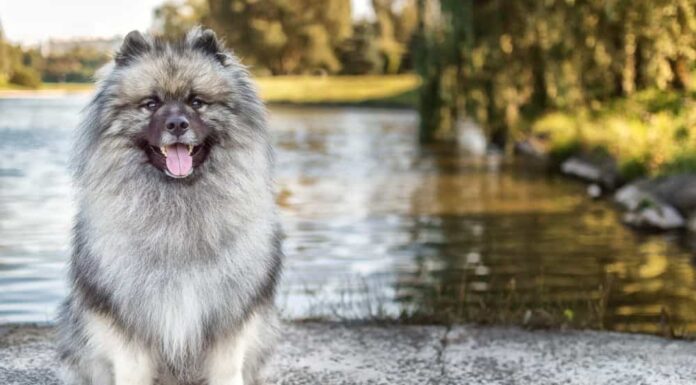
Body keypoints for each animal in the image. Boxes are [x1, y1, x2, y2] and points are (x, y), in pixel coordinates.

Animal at [55, 27, 282, 384]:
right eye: (151, 104)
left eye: (196, 102)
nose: (176, 125)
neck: (178, 204)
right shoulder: (129, 326)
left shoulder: (227, 321)